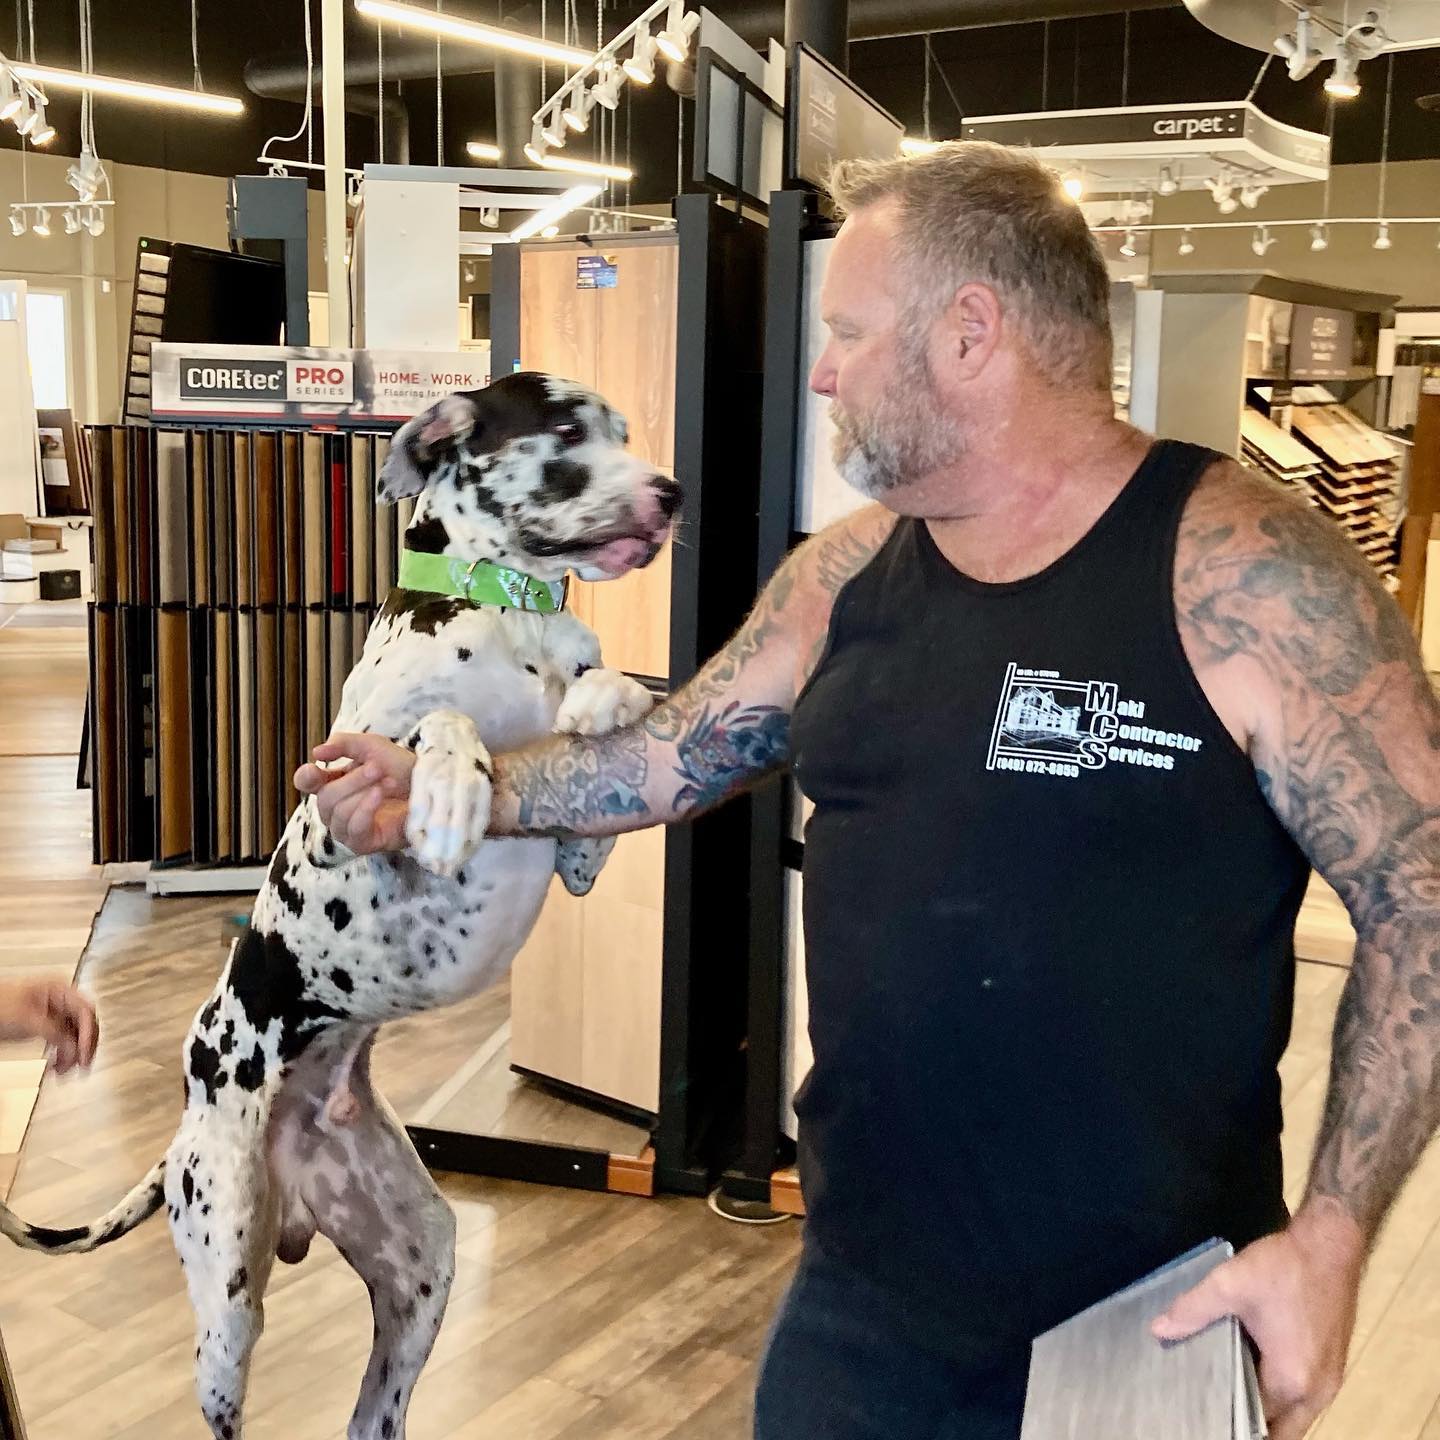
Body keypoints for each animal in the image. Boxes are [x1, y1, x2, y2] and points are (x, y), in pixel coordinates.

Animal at [0, 372, 681, 1440]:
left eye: (620, 430)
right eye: (568, 428)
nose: (672, 494)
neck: (513, 618)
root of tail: (191, 1122)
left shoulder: (579, 822)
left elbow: (619, 707)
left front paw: (600, 703)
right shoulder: (341, 818)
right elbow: (439, 724)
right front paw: (449, 788)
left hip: (421, 1268)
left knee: (374, 1413)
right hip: (226, 1300)